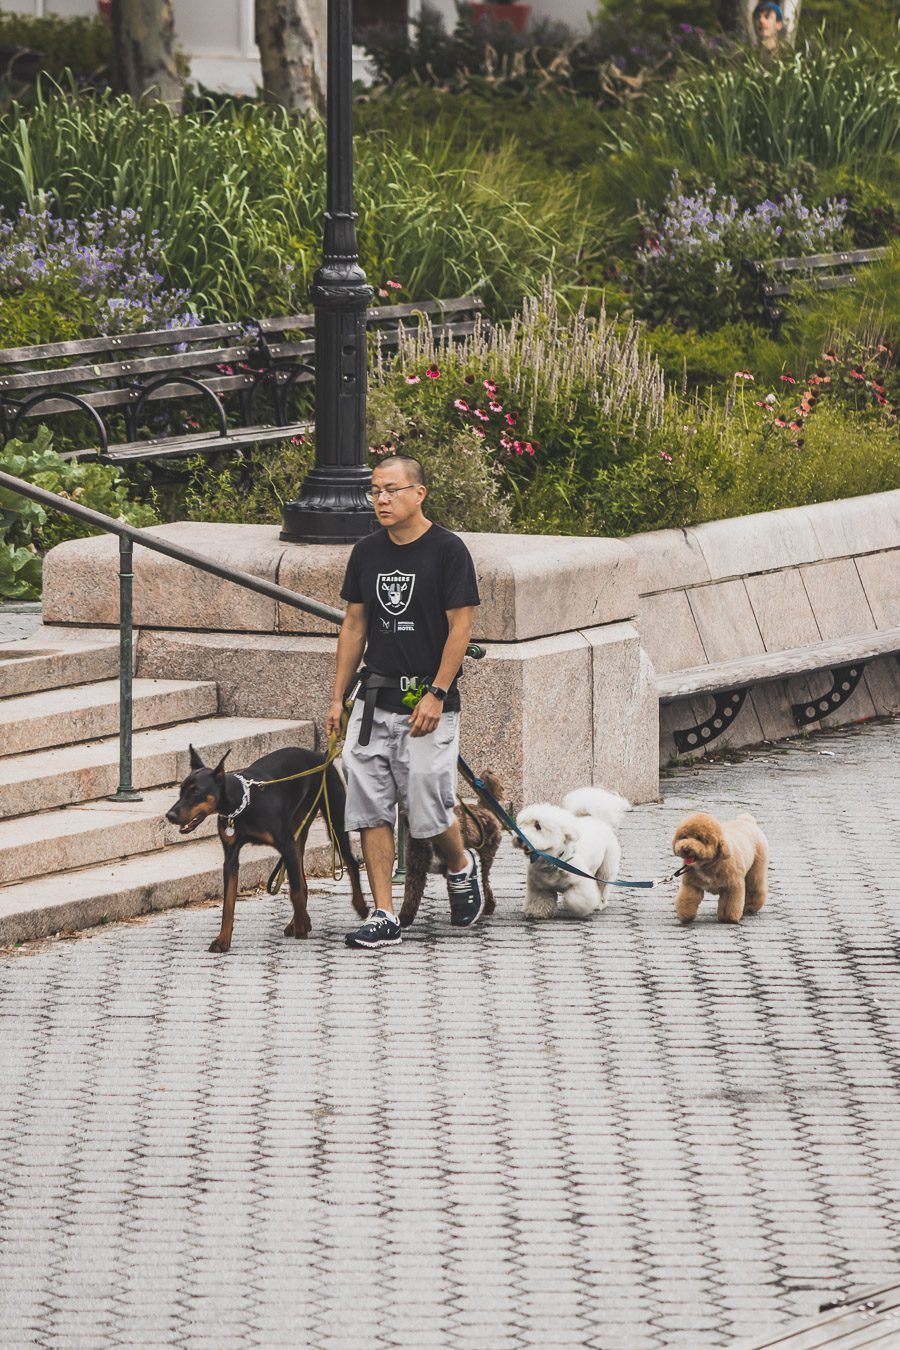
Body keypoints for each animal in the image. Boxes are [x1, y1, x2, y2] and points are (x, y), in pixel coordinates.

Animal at [402, 772, 507, 928]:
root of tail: (482, 808)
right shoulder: (416, 871)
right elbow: (410, 896)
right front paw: (403, 919)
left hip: (487, 853)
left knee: (485, 882)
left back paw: (488, 907)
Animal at [518, 788, 631, 923]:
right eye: (521, 824)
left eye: (538, 826)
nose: (519, 838)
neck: (553, 860)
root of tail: (594, 818)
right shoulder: (539, 887)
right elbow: (540, 900)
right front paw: (537, 913)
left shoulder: (582, 883)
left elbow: (575, 898)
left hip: (606, 868)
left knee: (602, 886)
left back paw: (599, 904)